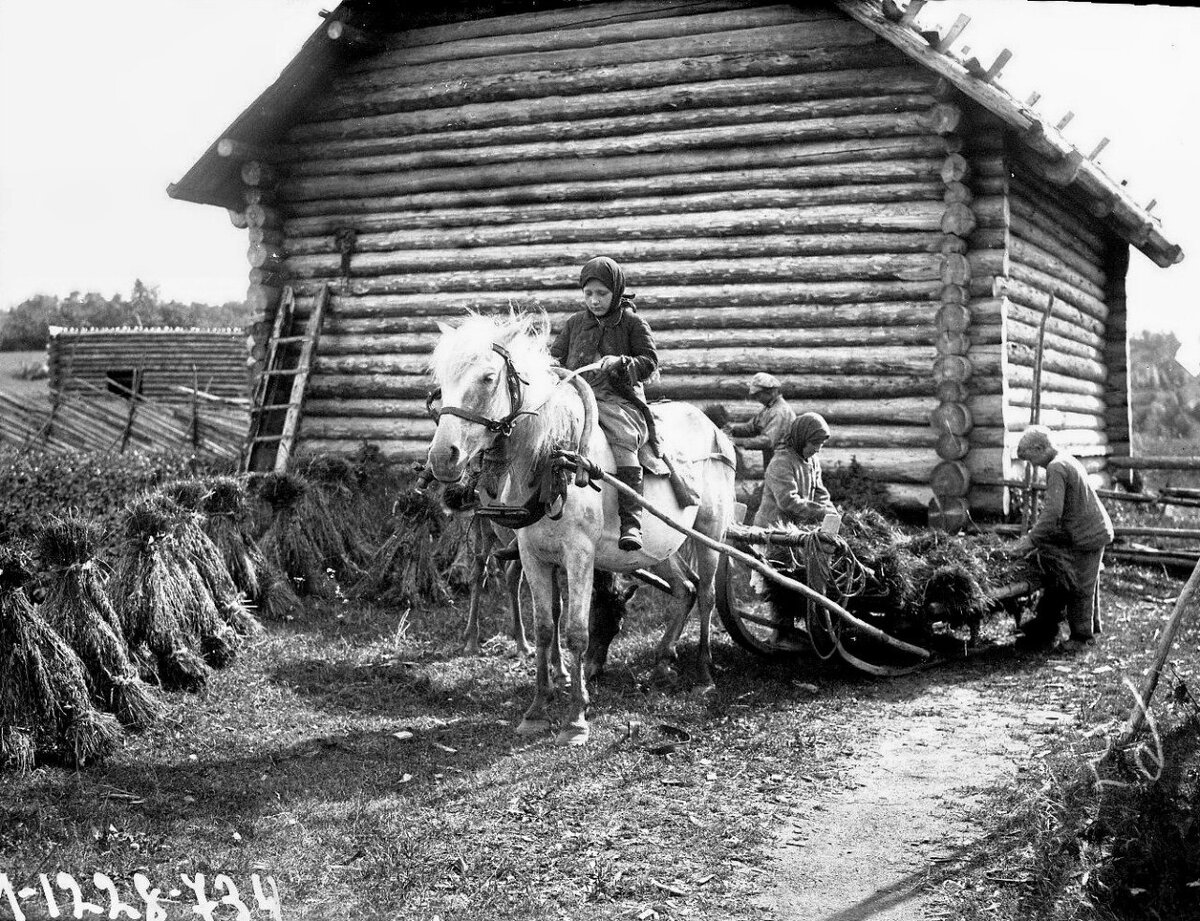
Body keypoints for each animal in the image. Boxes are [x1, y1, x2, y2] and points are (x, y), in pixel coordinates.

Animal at [427, 311, 734, 743]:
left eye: (488, 377)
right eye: (442, 380)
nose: (443, 457)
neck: (554, 460)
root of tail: (715, 429)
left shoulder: (579, 557)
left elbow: (575, 629)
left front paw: (576, 716)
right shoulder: (534, 556)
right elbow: (544, 626)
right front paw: (537, 709)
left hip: (709, 536)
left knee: (705, 594)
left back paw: (704, 674)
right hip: (658, 548)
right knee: (684, 589)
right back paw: (662, 660)